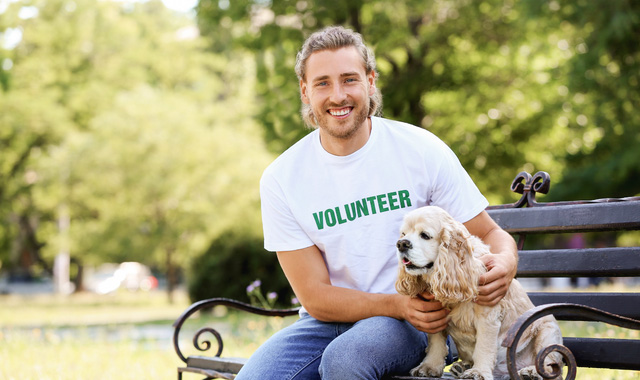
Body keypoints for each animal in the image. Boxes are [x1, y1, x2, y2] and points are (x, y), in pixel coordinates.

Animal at [392, 206, 564, 380]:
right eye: (403, 234)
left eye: (425, 235)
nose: (401, 244)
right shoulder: (434, 315)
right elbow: (436, 342)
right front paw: (429, 367)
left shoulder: (487, 317)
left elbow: (484, 346)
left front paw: (478, 372)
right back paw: (461, 367)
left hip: (547, 331)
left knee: (551, 366)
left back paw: (531, 372)